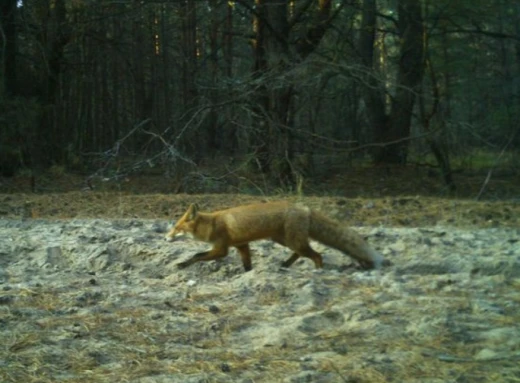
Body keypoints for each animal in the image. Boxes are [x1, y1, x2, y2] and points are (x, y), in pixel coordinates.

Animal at [165, 202, 384, 272]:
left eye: (176, 228)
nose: (166, 238)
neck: (212, 224)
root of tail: (304, 208)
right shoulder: (242, 245)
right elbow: (247, 265)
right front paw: (248, 276)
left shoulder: (221, 249)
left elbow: (197, 256)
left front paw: (181, 264)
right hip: (284, 240)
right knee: (300, 253)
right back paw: (285, 265)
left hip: (292, 241)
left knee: (317, 255)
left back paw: (318, 273)